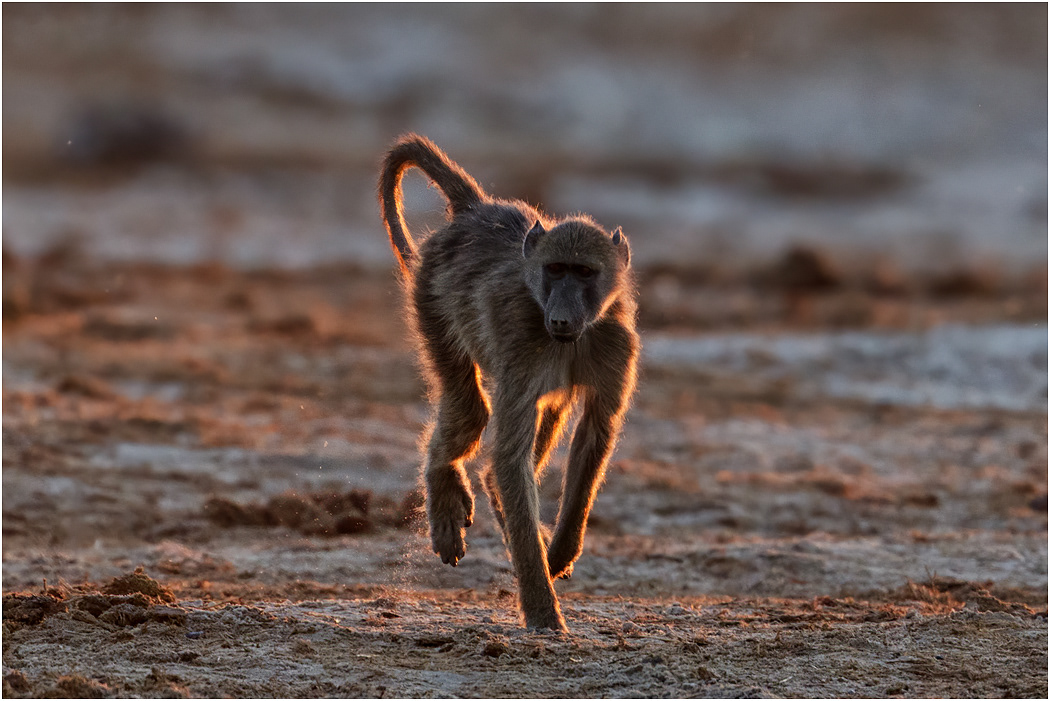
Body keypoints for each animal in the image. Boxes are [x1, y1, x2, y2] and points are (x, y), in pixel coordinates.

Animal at [378, 133, 639, 632]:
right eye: (555, 270)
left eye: (584, 272)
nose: (560, 320)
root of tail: (475, 210)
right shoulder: (521, 344)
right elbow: (509, 455)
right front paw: (541, 609)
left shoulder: (616, 346)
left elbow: (593, 435)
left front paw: (558, 551)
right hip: (431, 299)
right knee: (472, 413)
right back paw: (445, 496)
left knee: (541, 418)